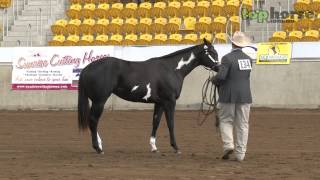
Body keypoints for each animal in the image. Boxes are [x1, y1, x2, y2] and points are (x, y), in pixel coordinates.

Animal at [77, 38, 219, 154]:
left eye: (216, 52)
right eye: (211, 52)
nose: (218, 67)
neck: (172, 69)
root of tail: (86, 69)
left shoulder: (160, 102)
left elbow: (155, 122)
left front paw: (154, 147)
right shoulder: (170, 102)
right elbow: (171, 123)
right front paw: (176, 147)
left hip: (96, 101)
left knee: (92, 121)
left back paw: (100, 145)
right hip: (99, 101)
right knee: (93, 120)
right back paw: (98, 148)